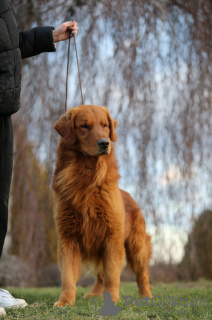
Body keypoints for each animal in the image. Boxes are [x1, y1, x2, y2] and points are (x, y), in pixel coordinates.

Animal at [53, 105, 152, 308]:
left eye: (105, 125)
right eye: (84, 126)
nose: (105, 143)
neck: (87, 177)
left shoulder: (112, 238)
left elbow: (112, 275)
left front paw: (112, 300)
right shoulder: (67, 238)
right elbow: (68, 277)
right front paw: (65, 301)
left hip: (136, 247)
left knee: (142, 274)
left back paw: (146, 295)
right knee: (100, 276)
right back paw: (93, 294)